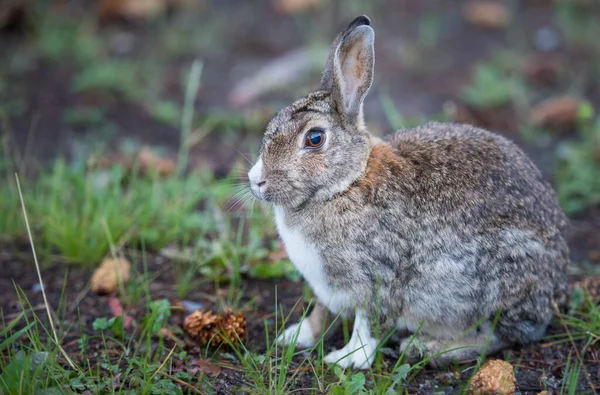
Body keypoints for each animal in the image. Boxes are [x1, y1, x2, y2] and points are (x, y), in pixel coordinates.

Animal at [246, 13, 568, 370]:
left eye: (315, 139)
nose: (256, 181)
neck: (345, 184)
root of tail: (556, 285)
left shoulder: (376, 278)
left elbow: (366, 324)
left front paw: (348, 358)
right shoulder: (324, 285)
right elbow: (320, 312)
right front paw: (297, 336)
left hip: (502, 279)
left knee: (496, 337)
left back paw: (425, 349)